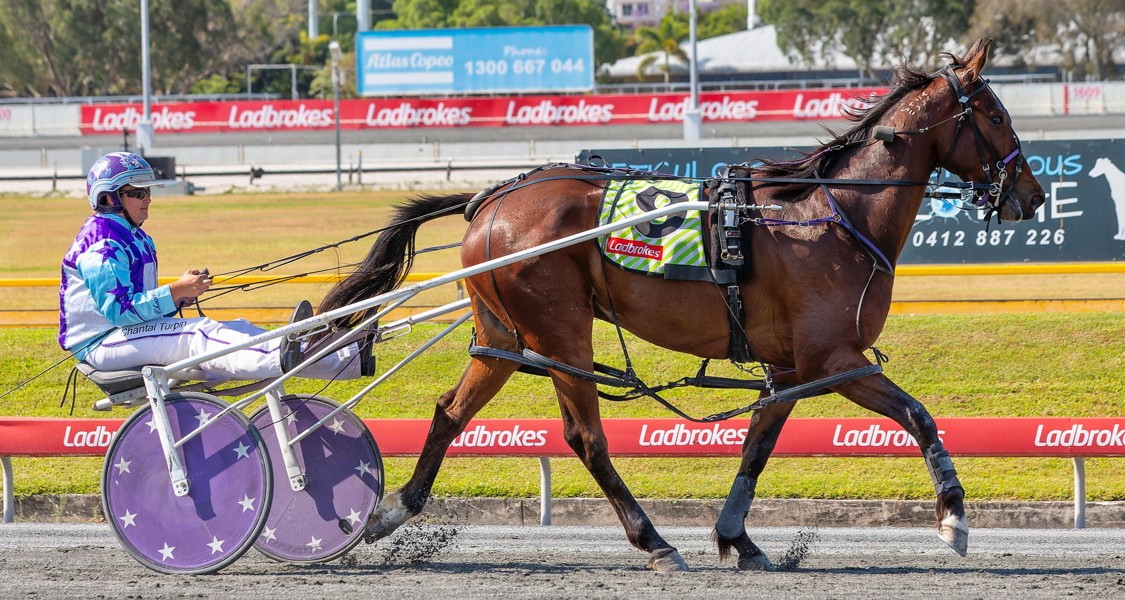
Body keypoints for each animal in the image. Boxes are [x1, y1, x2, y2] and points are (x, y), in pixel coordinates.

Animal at [319, 39, 1045, 572]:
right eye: (996, 115)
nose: (1032, 196)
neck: (832, 213)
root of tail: (490, 197)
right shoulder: (834, 358)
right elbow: (918, 415)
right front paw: (953, 517)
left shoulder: (789, 367)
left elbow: (757, 448)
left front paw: (736, 538)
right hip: (559, 332)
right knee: (586, 438)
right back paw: (653, 541)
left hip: (502, 334)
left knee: (450, 412)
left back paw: (392, 511)